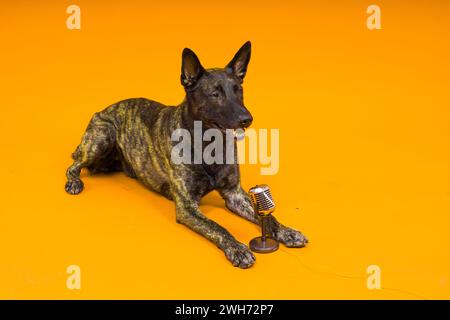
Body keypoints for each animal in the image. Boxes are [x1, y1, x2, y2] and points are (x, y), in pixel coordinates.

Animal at [65, 42, 308, 268]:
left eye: (238, 90)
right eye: (215, 94)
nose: (247, 119)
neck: (208, 144)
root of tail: (105, 108)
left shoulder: (235, 194)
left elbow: (268, 217)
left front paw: (287, 231)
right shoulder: (187, 207)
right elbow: (217, 226)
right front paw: (237, 248)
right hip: (102, 136)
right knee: (74, 165)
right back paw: (74, 182)